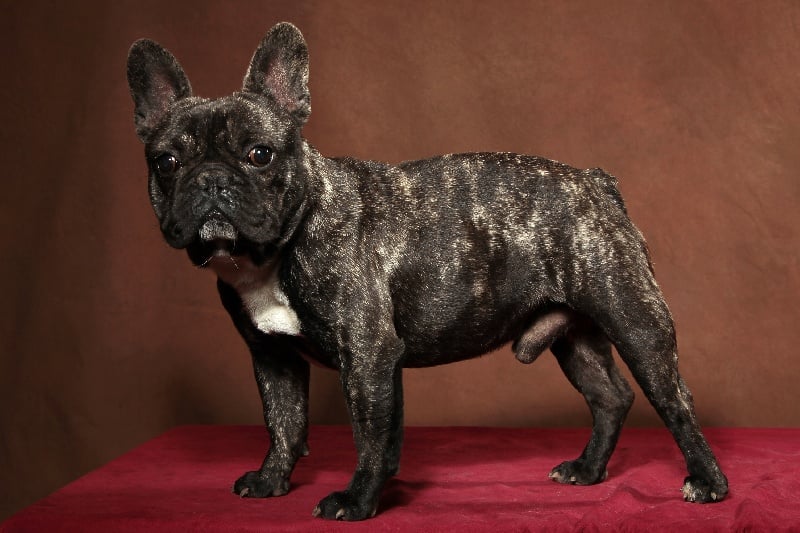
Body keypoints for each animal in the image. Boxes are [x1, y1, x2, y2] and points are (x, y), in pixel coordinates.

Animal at [127, 22, 728, 520]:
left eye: (259, 155)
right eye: (167, 162)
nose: (211, 180)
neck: (275, 250)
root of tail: (597, 181)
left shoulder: (367, 355)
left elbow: (370, 435)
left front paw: (358, 501)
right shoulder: (273, 358)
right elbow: (285, 424)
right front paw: (273, 481)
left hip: (634, 320)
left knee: (675, 401)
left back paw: (706, 483)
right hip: (573, 334)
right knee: (610, 396)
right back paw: (587, 470)